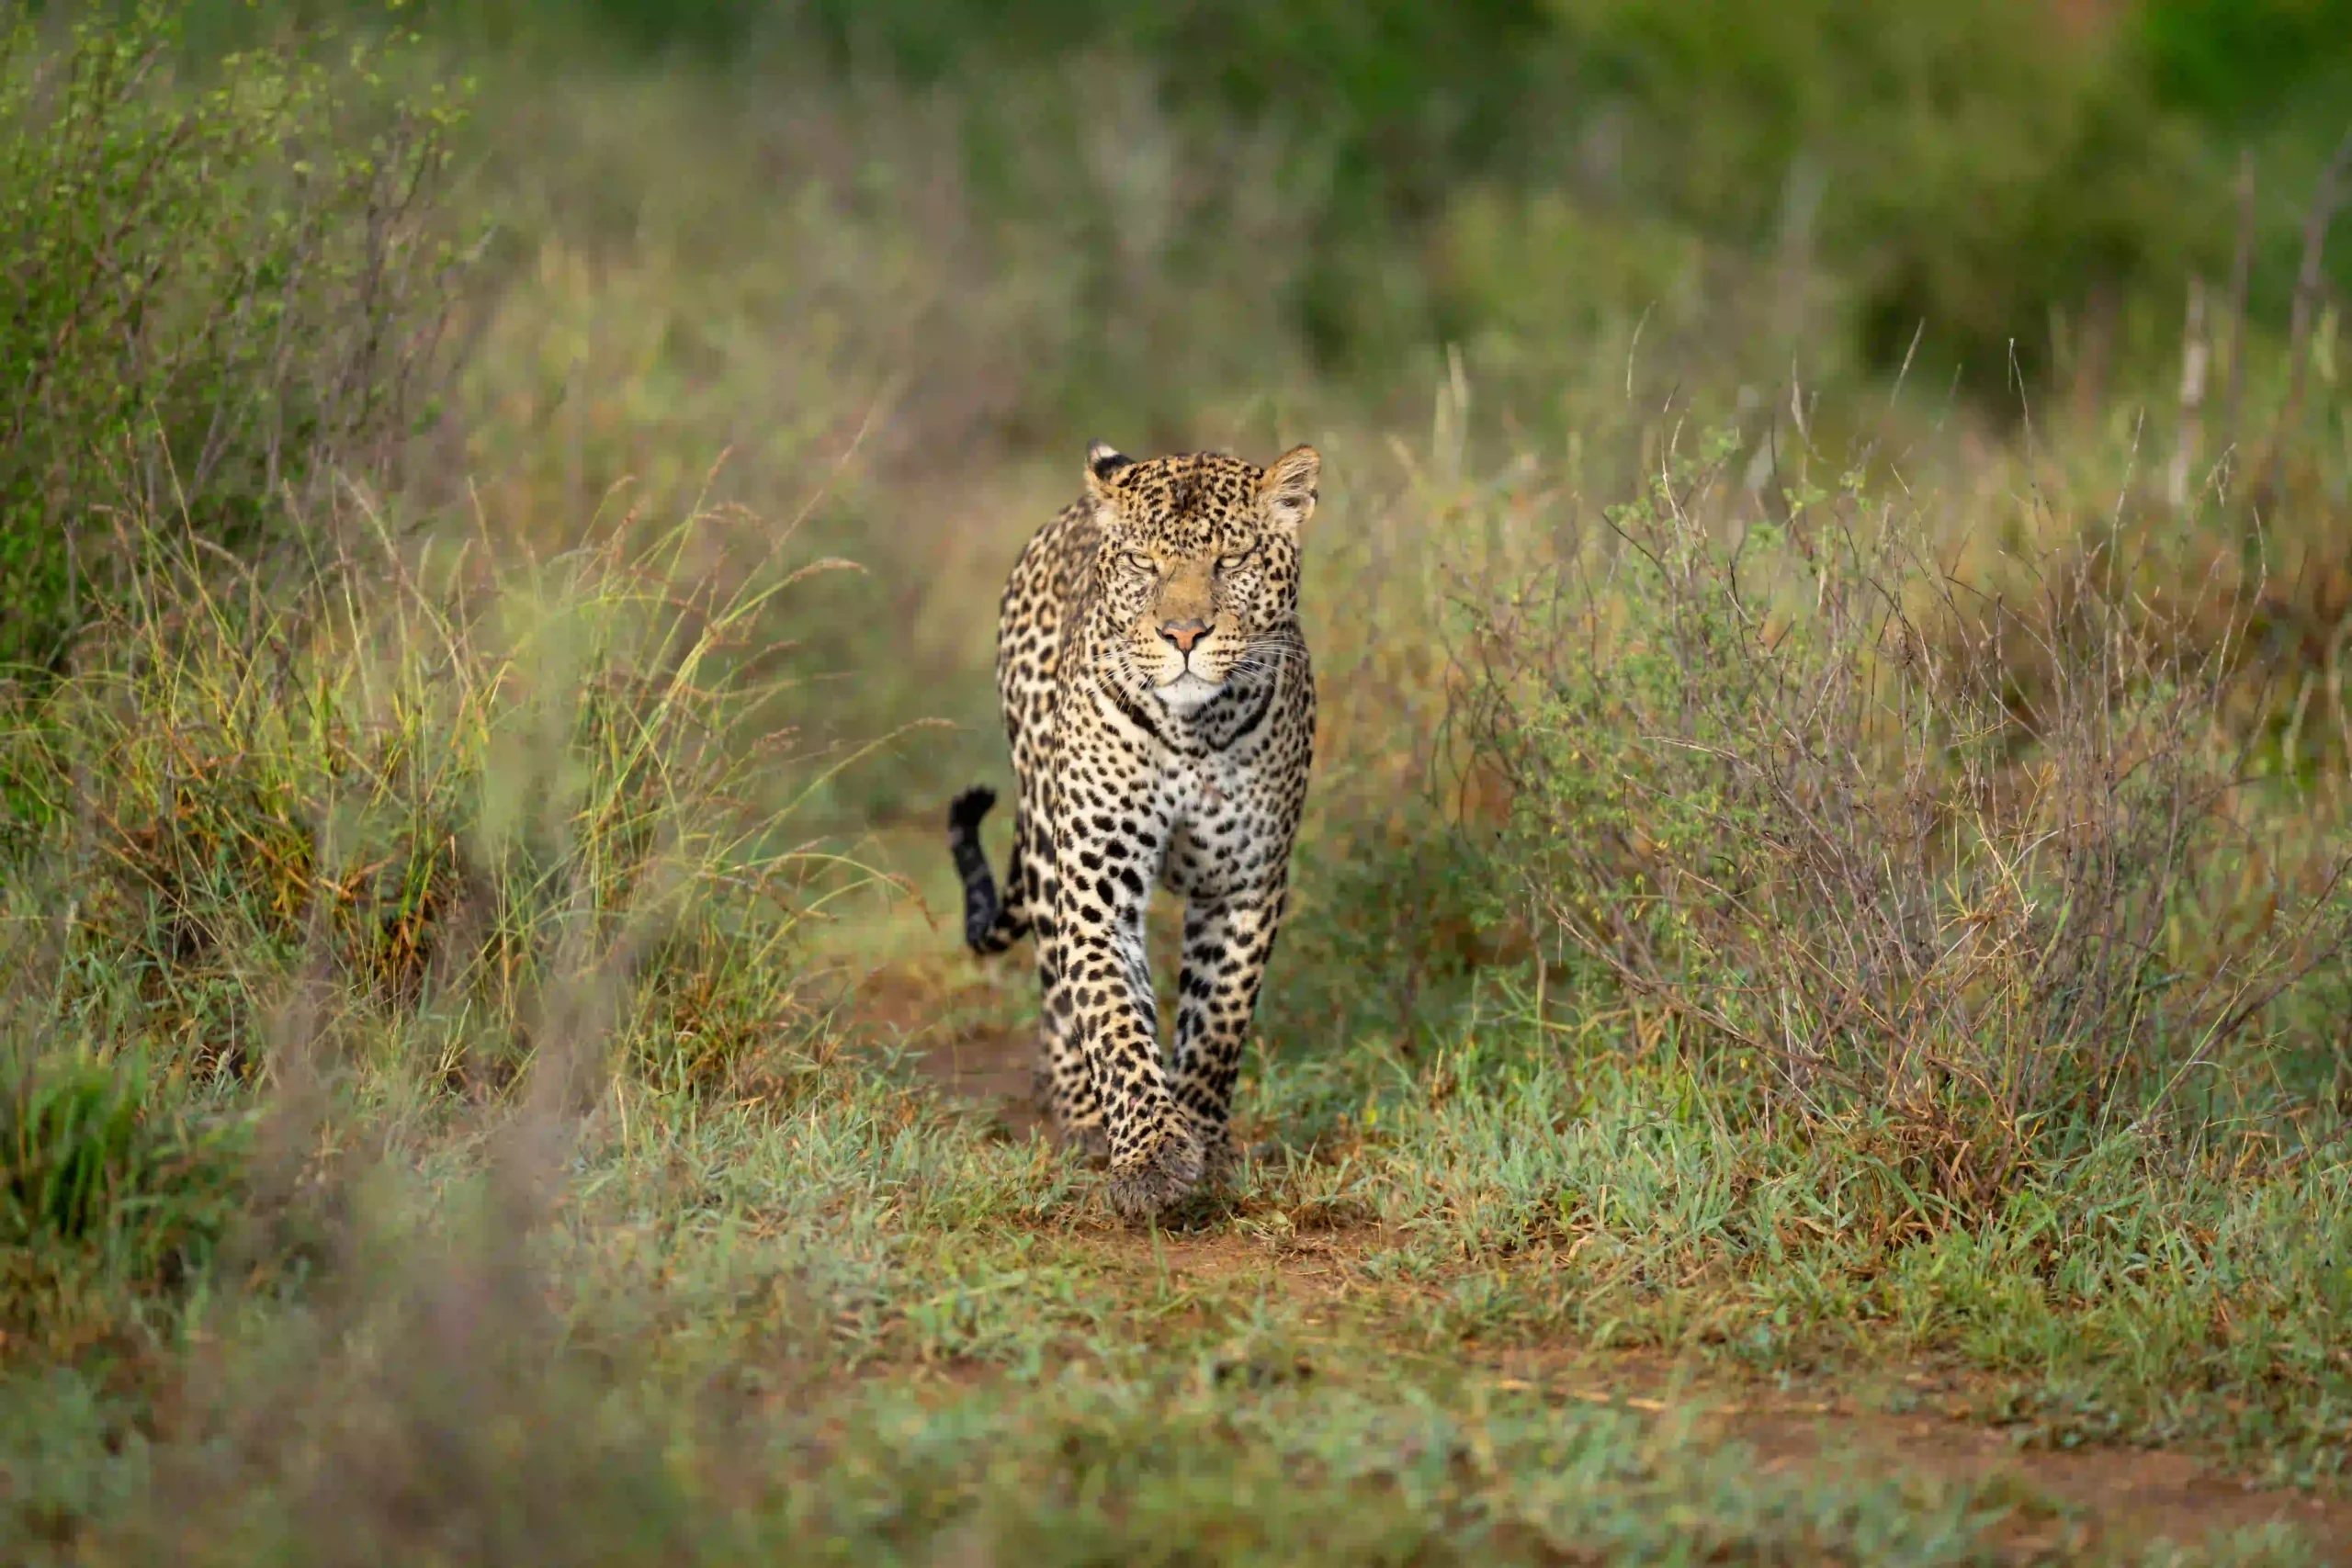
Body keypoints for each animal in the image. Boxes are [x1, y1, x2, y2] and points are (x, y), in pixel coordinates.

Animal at [946, 440, 1321, 1220]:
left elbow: (1218, 1024)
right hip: (1047, 838)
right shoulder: (1098, 882)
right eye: (1145, 564)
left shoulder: (1245, 885)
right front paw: (1147, 1156)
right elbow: (1114, 1016)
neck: (1193, 727)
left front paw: (1202, 1143)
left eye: (1231, 560)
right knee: (1058, 987)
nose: (1183, 635)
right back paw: (1079, 1110)